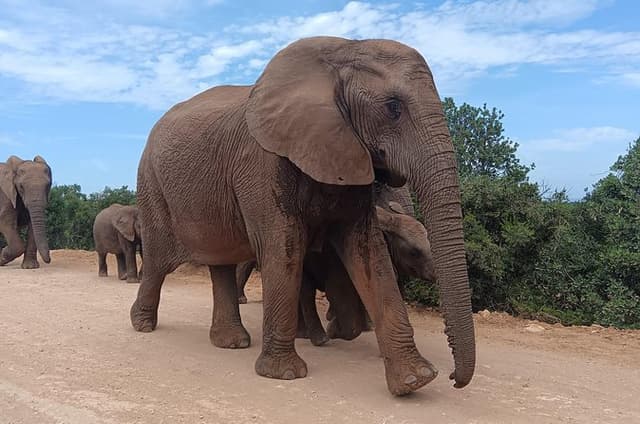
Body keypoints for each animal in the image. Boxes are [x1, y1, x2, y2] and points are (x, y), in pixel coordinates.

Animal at [130, 36, 475, 395]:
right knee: (158, 260)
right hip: (150, 182)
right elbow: (285, 246)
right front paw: (285, 373)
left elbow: (369, 253)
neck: (342, 53)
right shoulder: (263, 162)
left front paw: (414, 380)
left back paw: (232, 343)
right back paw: (143, 325)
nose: (454, 379)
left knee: (220, 260)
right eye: (393, 107)